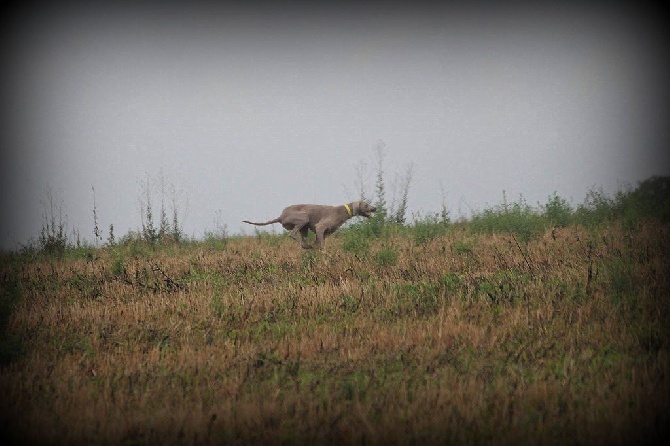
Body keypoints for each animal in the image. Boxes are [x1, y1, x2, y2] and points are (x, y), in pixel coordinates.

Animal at [244, 201, 378, 249]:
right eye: (366, 205)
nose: (375, 208)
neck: (342, 211)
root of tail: (281, 216)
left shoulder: (325, 233)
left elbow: (318, 242)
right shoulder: (320, 227)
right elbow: (322, 245)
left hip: (304, 227)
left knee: (302, 239)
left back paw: (307, 246)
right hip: (303, 217)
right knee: (293, 235)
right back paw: (304, 245)